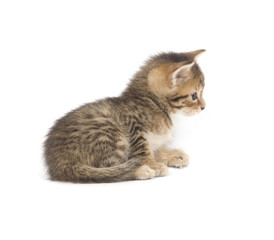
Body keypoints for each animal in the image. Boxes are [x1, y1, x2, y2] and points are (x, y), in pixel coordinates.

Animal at [43, 49, 206, 183]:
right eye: (194, 95)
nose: (204, 107)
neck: (153, 103)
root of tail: (58, 161)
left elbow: (155, 148)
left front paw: (172, 155)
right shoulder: (133, 126)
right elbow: (143, 151)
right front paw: (153, 165)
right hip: (110, 130)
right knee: (108, 170)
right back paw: (141, 171)